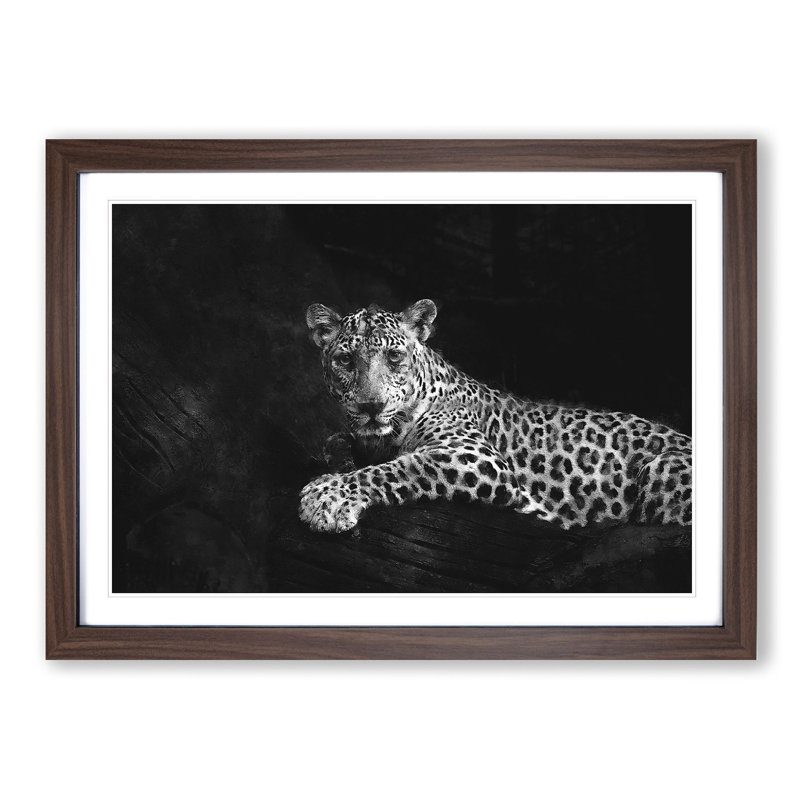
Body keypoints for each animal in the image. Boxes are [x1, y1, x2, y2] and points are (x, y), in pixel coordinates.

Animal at [299, 299, 692, 534]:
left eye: (394, 357)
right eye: (345, 360)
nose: (372, 406)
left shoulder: (474, 456)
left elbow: (400, 467)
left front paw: (327, 496)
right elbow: (337, 443)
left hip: (662, 469)